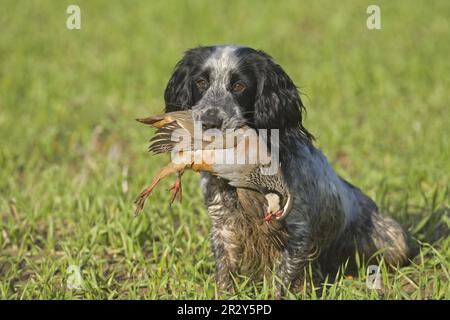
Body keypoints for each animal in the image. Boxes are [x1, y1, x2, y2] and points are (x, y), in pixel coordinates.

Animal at [162, 45, 414, 296]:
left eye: (239, 85)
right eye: (201, 82)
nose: (209, 122)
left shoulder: (295, 234)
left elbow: (281, 281)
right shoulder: (223, 225)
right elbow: (225, 274)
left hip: (393, 242)